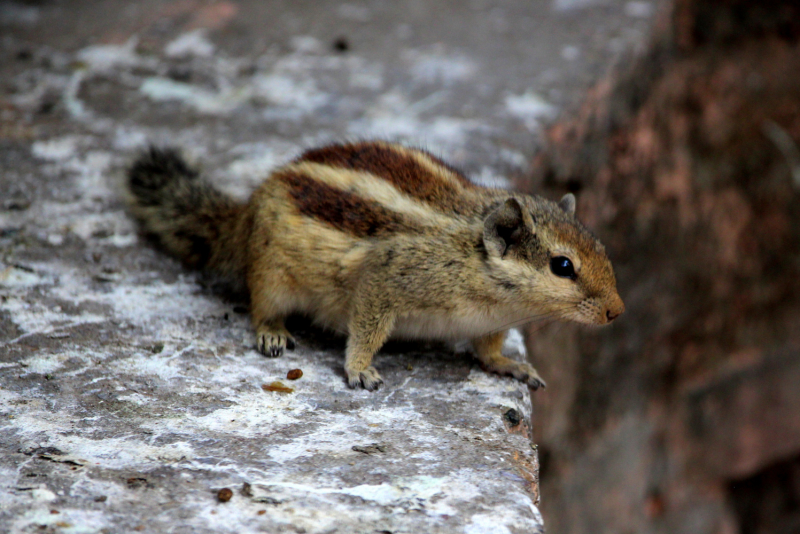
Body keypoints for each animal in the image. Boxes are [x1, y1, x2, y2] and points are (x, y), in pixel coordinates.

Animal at [126, 141, 624, 394]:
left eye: (601, 246)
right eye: (563, 266)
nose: (617, 312)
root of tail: (244, 213)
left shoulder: (491, 322)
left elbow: (487, 350)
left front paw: (509, 365)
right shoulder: (389, 276)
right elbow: (366, 324)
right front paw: (360, 368)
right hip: (271, 272)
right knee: (262, 304)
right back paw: (272, 331)